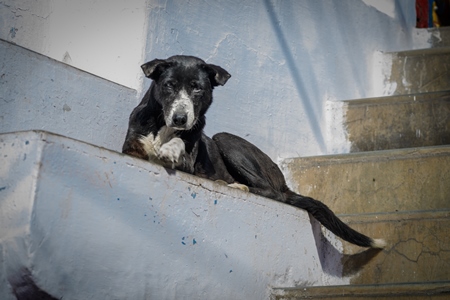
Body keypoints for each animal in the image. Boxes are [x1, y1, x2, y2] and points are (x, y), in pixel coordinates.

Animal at [121, 55, 384, 250]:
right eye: (169, 86)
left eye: (197, 89)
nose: (180, 118)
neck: (164, 127)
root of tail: (284, 182)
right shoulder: (131, 147)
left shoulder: (189, 162)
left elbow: (178, 146)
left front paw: (170, 149)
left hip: (226, 139)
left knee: (272, 193)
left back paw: (236, 186)